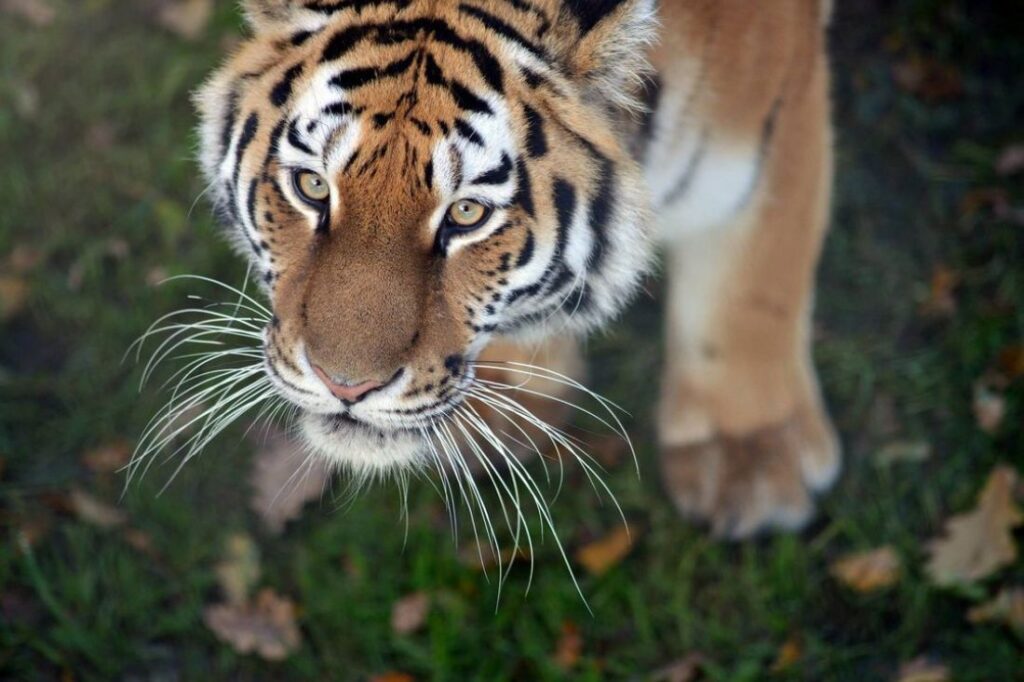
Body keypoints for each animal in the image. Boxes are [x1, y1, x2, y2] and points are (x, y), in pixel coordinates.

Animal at [192, 0, 839, 536]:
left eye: (467, 213)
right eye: (311, 186)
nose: (344, 386)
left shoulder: (772, 121)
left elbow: (751, 288)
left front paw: (749, 460)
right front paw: (504, 404)